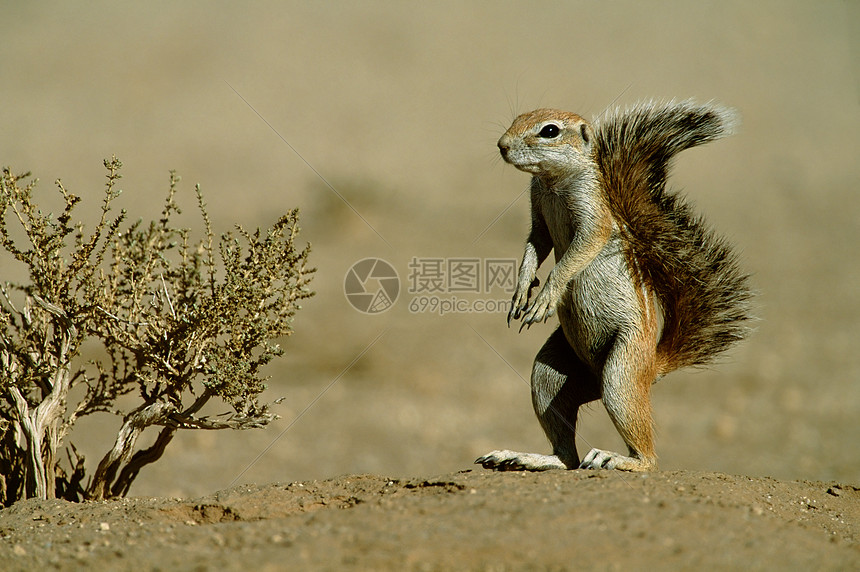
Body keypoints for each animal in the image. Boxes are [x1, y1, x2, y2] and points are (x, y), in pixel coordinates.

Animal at [478, 100, 752, 472]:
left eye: (549, 131)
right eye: (518, 119)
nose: (502, 145)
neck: (552, 183)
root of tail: (654, 366)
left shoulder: (595, 217)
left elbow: (575, 255)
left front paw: (546, 297)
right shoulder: (537, 212)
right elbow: (535, 248)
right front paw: (521, 291)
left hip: (621, 372)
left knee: (648, 456)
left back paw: (618, 459)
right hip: (547, 376)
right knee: (567, 455)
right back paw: (525, 458)